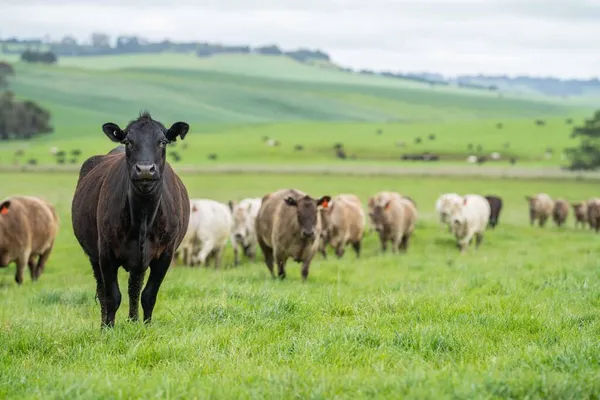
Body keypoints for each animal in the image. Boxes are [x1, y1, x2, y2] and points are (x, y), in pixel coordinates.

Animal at [71, 110, 191, 328]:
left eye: (162, 141)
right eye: (128, 141)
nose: (144, 169)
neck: (143, 216)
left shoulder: (165, 254)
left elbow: (148, 295)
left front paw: (146, 326)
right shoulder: (105, 252)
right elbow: (112, 296)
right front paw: (108, 329)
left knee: (134, 287)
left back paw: (134, 321)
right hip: (94, 255)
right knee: (103, 291)